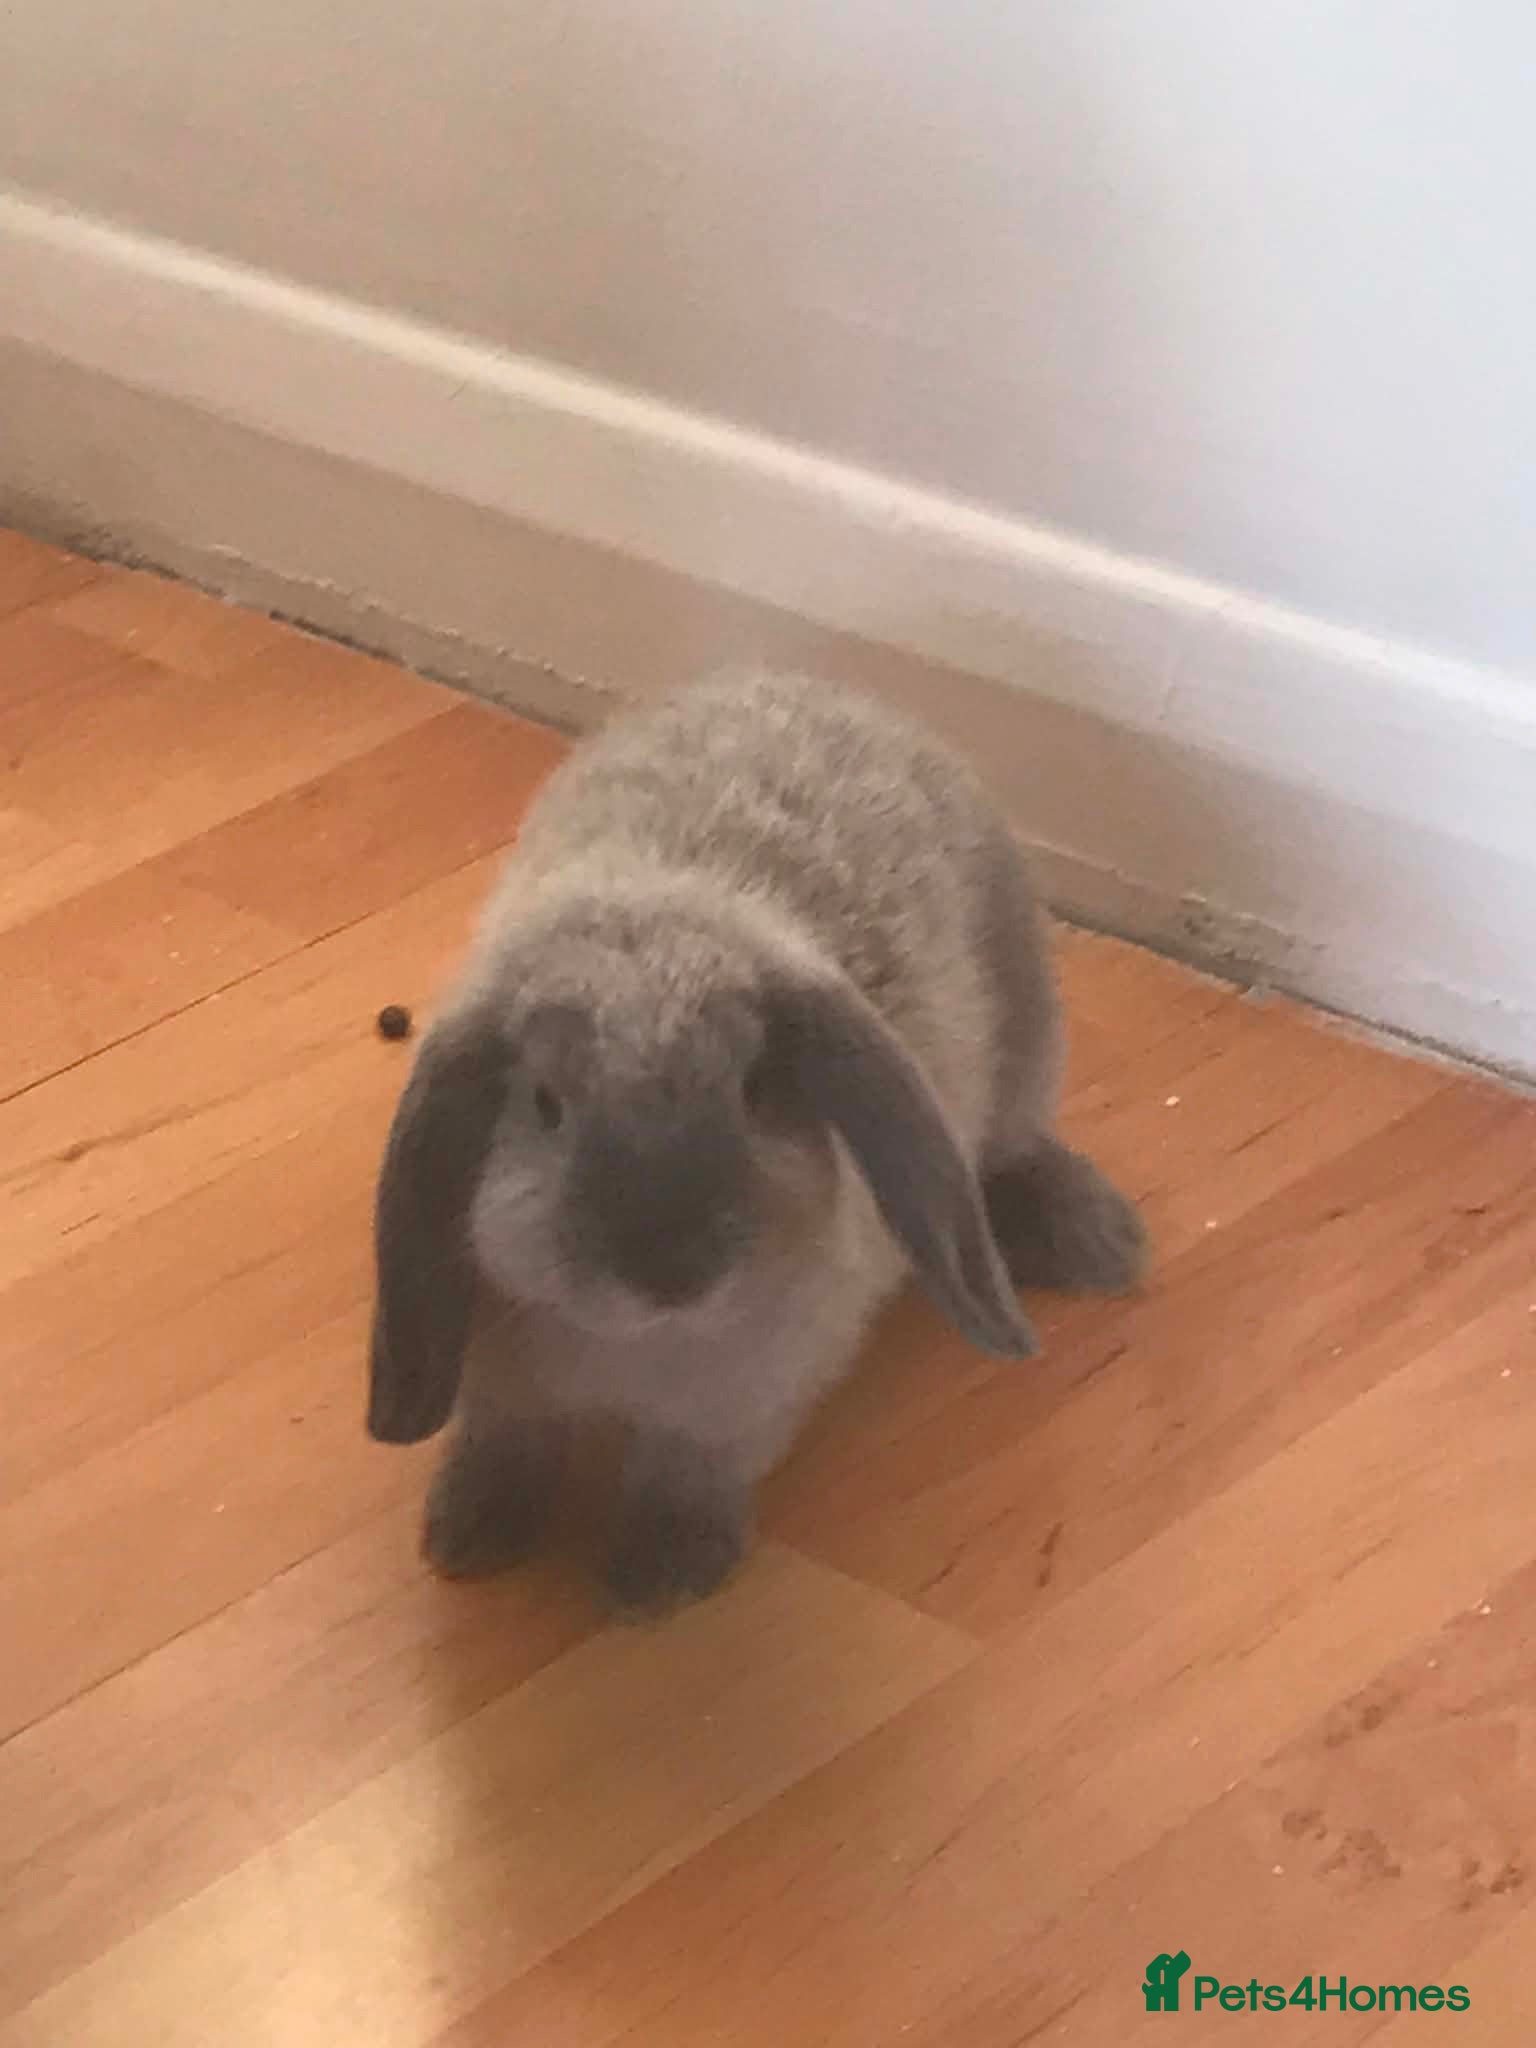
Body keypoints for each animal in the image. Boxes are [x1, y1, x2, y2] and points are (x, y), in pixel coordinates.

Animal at [366, 668, 1145, 1611]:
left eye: (752, 1090)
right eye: (545, 1104)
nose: (670, 1270)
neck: (634, 1346)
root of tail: (807, 686)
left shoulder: (740, 1408)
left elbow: (685, 1471)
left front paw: (661, 1578)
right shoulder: (504, 1392)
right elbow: (505, 1445)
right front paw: (469, 1538)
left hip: (1027, 1032)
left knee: (1012, 1148)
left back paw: (1098, 1240)